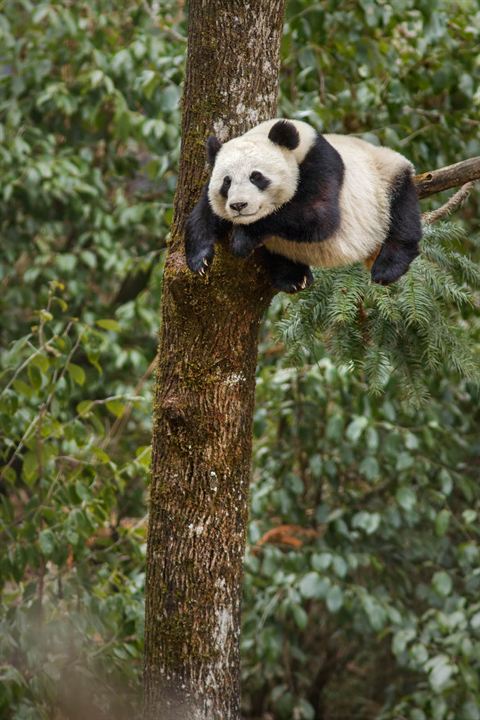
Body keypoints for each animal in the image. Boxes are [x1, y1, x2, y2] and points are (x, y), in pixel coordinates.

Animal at [186, 118, 422, 292]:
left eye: (256, 177)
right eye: (227, 182)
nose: (238, 205)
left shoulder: (321, 162)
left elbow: (318, 216)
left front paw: (242, 239)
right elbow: (203, 213)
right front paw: (200, 260)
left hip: (385, 177)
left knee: (403, 214)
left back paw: (388, 268)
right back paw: (292, 277)